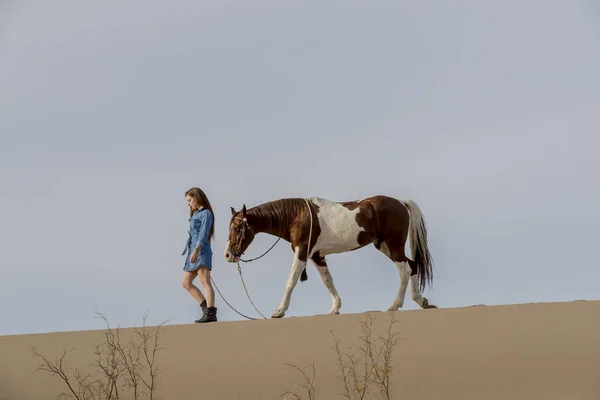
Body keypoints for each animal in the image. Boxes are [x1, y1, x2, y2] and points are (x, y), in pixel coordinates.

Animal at [224, 195, 436, 318]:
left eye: (237, 228)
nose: (227, 255)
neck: (296, 216)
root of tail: (401, 203)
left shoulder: (302, 252)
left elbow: (291, 280)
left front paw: (279, 310)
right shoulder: (317, 256)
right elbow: (327, 280)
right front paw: (335, 308)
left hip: (393, 244)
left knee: (405, 269)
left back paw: (395, 305)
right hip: (384, 245)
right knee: (413, 266)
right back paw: (420, 300)